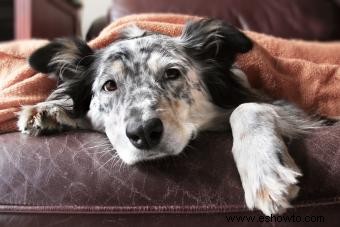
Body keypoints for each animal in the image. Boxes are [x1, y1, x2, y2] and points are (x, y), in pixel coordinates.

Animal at [16, 18, 324, 215]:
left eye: (172, 73)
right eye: (109, 86)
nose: (143, 132)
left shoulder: (289, 109)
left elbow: (247, 108)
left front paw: (265, 171)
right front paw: (49, 109)